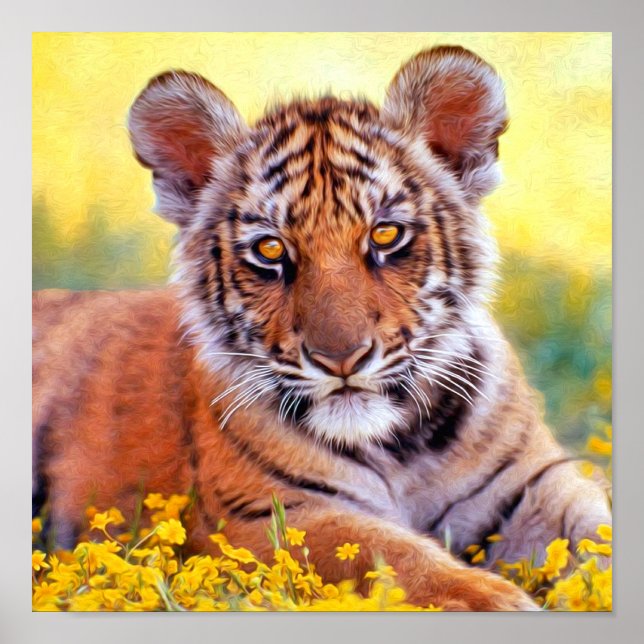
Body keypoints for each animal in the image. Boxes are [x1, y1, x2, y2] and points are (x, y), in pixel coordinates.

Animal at [32, 45, 611, 611]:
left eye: (386, 234)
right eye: (270, 250)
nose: (341, 359)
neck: (402, 447)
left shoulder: (534, 484)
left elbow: (596, 534)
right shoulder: (271, 512)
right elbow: (394, 553)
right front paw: (496, 600)